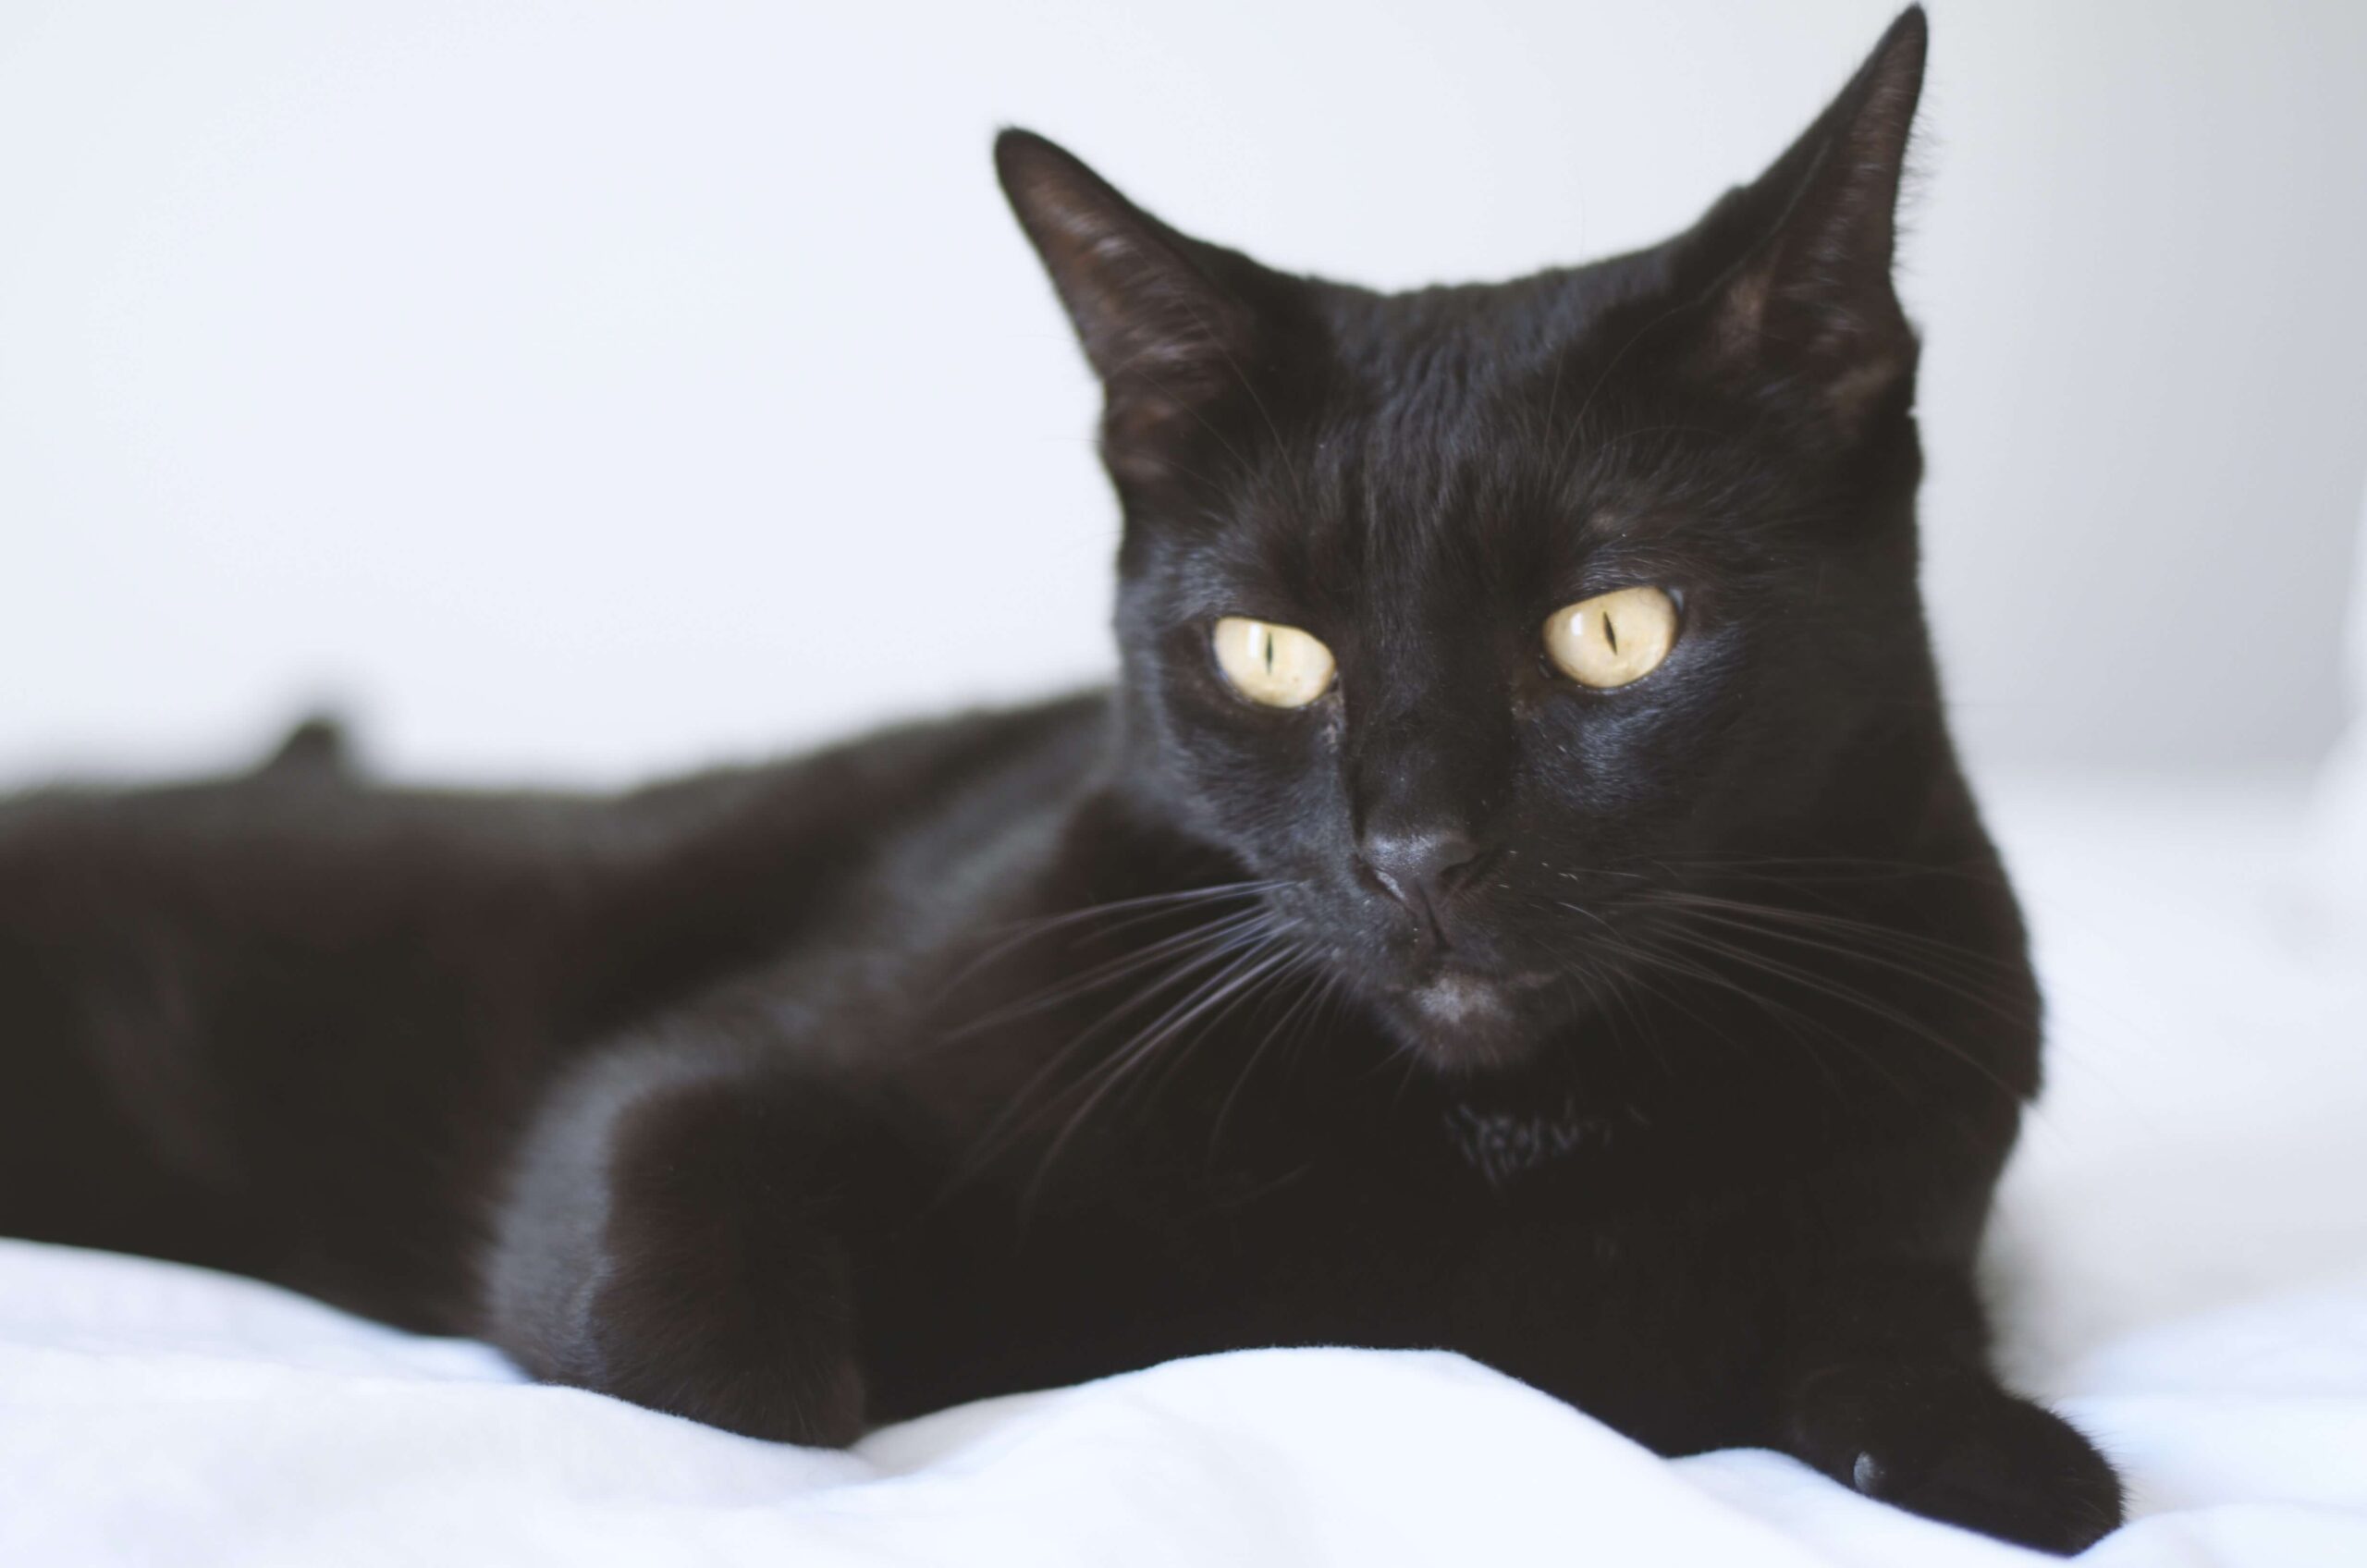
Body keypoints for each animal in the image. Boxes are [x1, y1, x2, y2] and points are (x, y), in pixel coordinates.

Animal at [0, 8, 2120, 1562]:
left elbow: (1882, 1332)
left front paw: (1992, 1445)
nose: (1417, 852)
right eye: (1269, 652)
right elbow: (721, 1393)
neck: (1503, 1144)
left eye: (1616, 628)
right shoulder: (675, 1091)